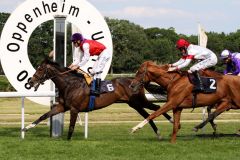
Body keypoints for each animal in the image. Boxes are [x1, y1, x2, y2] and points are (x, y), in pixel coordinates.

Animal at [23, 58, 172, 140]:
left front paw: (68, 140)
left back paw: (170, 121)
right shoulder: (62, 107)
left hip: (139, 101)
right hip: (134, 103)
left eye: (40, 69)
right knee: (148, 114)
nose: (30, 81)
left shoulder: (74, 109)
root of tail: (136, 81)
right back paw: (158, 134)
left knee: (156, 108)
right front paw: (26, 128)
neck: (70, 84)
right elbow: (44, 115)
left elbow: (71, 126)